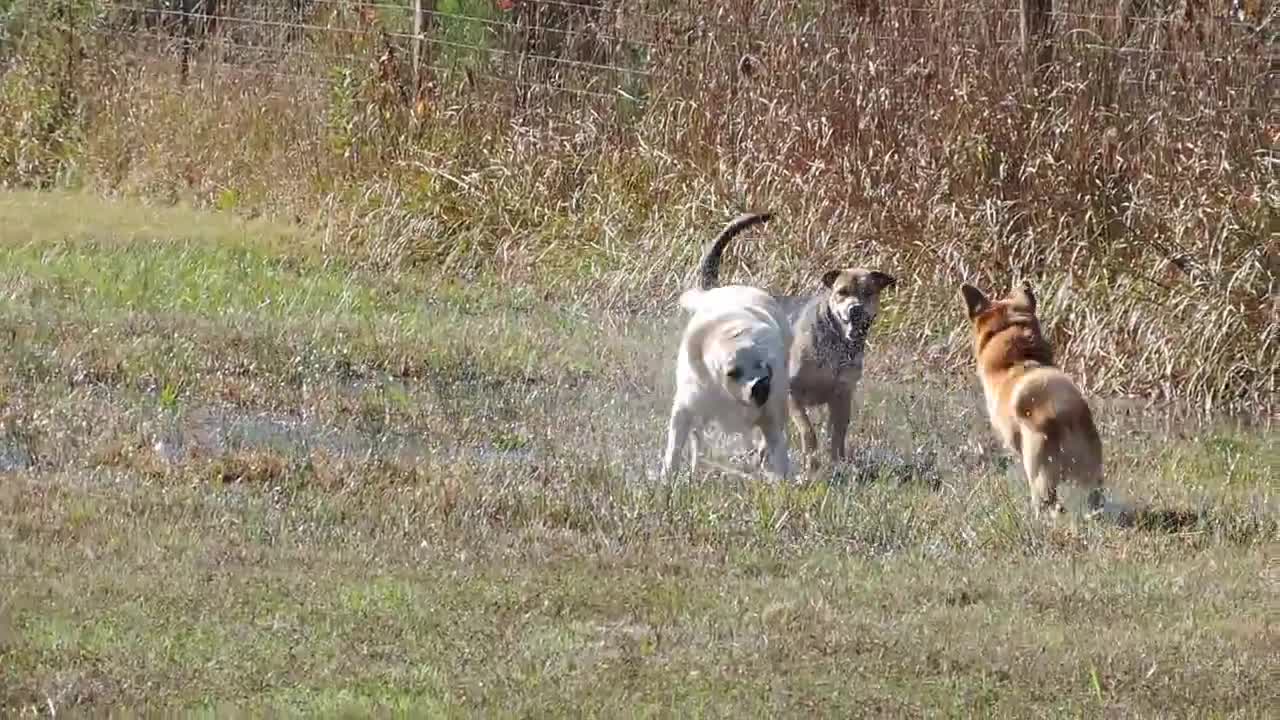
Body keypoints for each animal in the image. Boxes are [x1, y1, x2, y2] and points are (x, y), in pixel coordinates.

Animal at [665, 212, 793, 481]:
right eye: (733, 372)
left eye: (766, 367)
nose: (760, 386)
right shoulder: (684, 409)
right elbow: (674, 449)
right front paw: (667, 479)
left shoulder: (772, 418)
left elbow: (777, 450)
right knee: (697, 440)